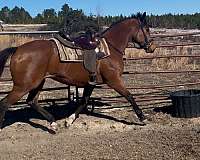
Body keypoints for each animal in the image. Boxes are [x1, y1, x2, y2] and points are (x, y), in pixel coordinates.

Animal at [0, 12, 156, 130]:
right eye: (147, 29)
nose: (152, 47)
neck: (111, 48)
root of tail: (18, 50)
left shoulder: (91, 83)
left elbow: (84, 101)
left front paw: (69, 120)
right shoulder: (114, 80)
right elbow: (129, 96)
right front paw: (142, 117)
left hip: (38, 82)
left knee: (32, 101)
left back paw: (53, 122)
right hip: (23, 86)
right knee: (5, 103)